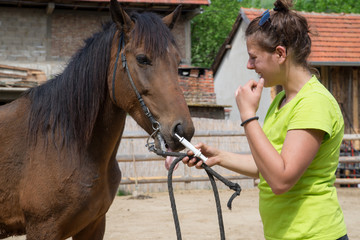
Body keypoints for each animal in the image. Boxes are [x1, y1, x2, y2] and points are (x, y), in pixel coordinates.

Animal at [0, 0, 194, 239]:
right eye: (142, 59)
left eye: (177, 62)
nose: (183, 129)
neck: (65, 143)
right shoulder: (43, 229)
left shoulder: (93, 225)